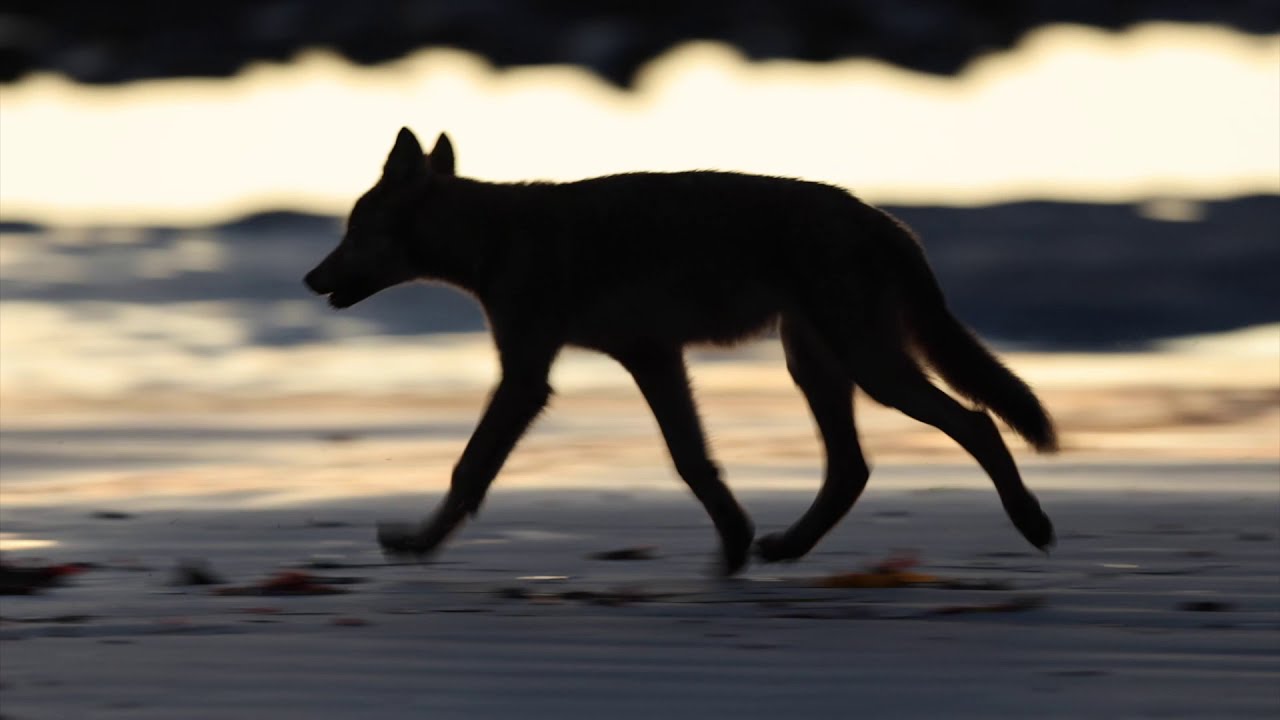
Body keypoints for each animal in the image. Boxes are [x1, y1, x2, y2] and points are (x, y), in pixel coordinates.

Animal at [304, 127, 1058, 575]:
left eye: (350, 233)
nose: (310, 279)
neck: (496, 239)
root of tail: (889, 222)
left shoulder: (527, 378)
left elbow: (468, 471)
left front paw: (417, 545)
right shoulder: (653, 357)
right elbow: (693, 461)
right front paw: (732, 545)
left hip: (870, 369)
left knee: (976, 423)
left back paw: (1033, 524)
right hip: (817, 366)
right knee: (852, 469)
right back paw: (786, 547)